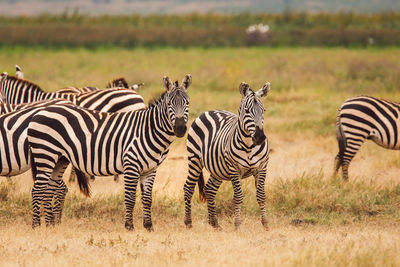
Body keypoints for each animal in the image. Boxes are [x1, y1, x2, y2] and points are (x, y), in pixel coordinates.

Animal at [27, 74, 191, 231]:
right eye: (169, 104)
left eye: (187, 103)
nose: (180, 128)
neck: (147, 130)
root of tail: (39, 112)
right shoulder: (131, 164)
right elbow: (130, 197)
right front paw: (129, 226)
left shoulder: (150, 169)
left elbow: (147, 199)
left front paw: (149, 226)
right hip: (45, 154)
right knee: (37, 189)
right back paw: (36, 226)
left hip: (59, 159)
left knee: (49, 189)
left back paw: (49, 225)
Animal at [183, 81, 270, 230]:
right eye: (247, 111)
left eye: (263, 110)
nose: (260, 138)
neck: (249, 145)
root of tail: (209, 111)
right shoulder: (234, 169)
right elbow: (238, 197)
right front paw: (237, 225)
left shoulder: (262, 168)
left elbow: (261, 196)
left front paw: (265, 224)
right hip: (194, 160)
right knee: (188, 188)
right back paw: (188, 222)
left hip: (218, 169)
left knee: (210, 189)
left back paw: (214, 223)